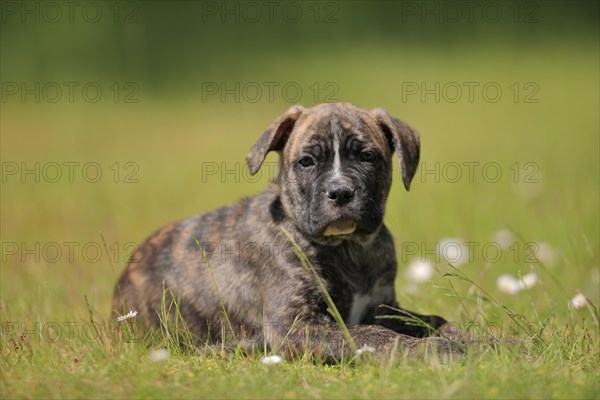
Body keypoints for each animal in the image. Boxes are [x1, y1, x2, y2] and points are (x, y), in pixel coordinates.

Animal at [115, 102, 464, 360]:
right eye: (306, 161)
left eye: (367, 157)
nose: (340, 192)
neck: (347, 249)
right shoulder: (296, 325)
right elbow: (373, 335)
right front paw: (434, 349)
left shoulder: (383, 306)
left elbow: (425, 319)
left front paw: (463, 335)